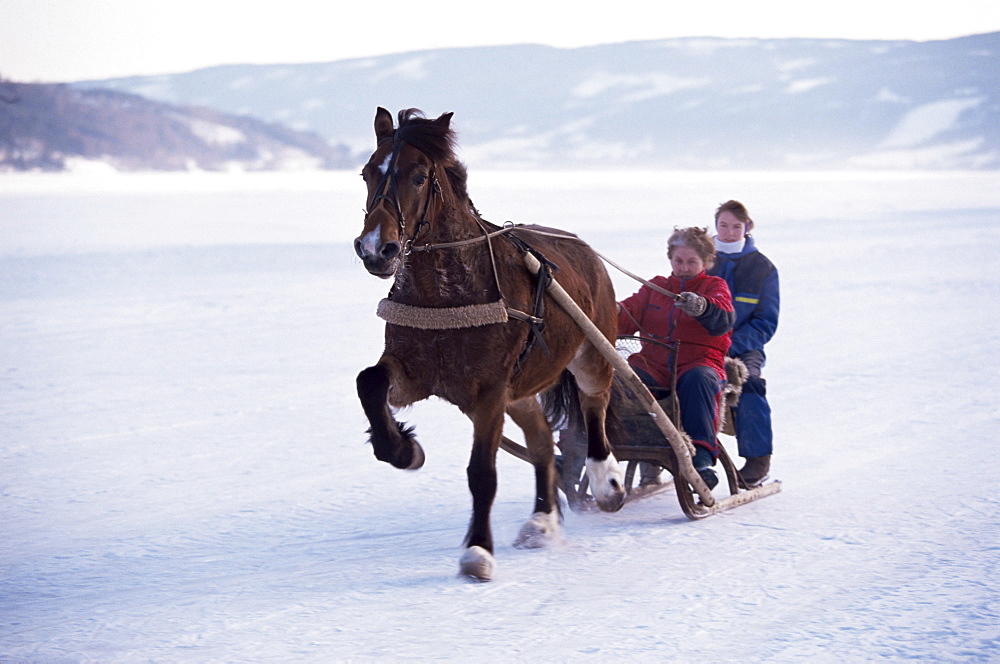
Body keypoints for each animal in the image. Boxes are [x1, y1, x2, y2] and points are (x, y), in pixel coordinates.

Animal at [352, 106, 624, 580]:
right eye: (369, 172)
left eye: (419, 176)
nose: (375, 249)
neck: (446, 293)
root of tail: (585, 249)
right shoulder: (415, 371)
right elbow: (369, 382)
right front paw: (403, 449)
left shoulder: (490, 391)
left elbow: (482, 472)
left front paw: (477, 550)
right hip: (521, 392)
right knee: (541, 442)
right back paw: (541, 521)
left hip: (591, 350)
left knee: (596, 402)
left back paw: (605, 480)